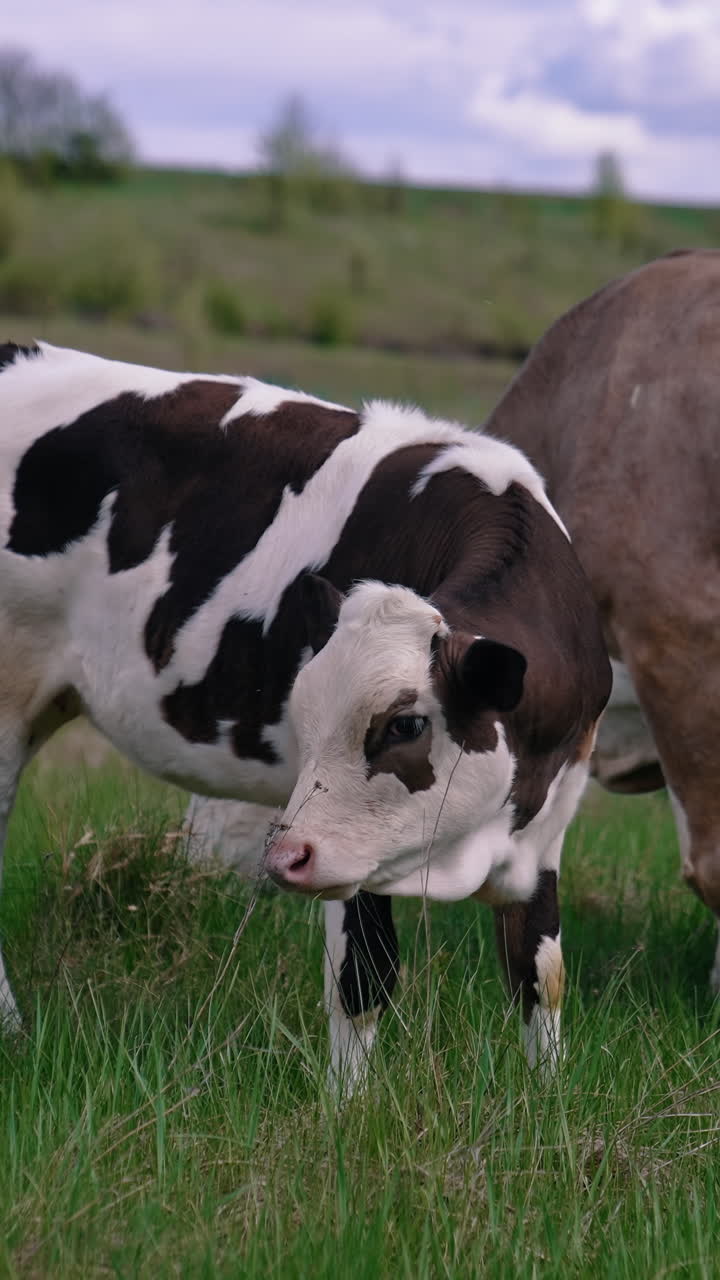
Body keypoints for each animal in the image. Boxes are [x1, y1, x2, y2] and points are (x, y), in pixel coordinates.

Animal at [0, 340, 610, 1090]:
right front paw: (350, 1107)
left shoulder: (546, 832)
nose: (283, 855)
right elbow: (363, 979)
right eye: (304, 716)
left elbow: (539, 974)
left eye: (406, 724)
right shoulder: (349, 857)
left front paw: (544, 1097)